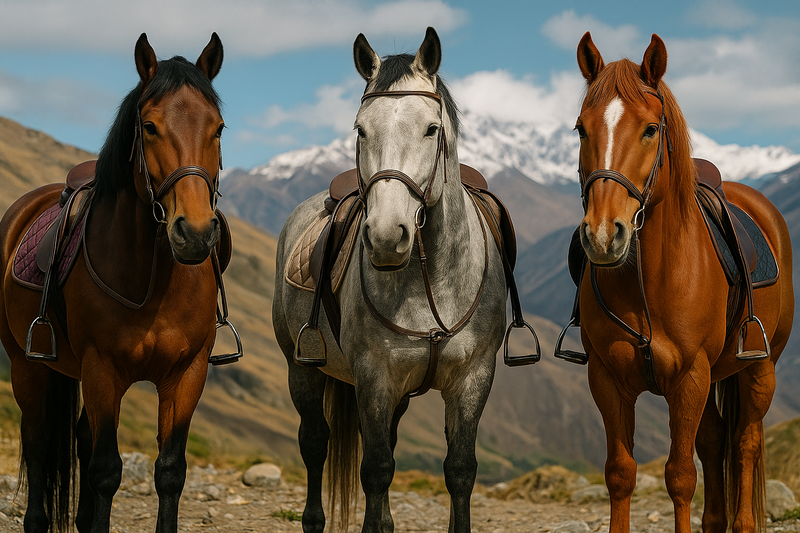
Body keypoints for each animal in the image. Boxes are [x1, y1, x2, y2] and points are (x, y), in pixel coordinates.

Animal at [0, 33, 233, 533]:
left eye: (219, 128)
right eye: (149, 126)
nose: (195, 232)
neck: (155, 281)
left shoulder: (187, 374)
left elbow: (170, 472)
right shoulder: (102, 369)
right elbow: (106, 471)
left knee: (82, 437)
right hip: (27, 366)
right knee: (37, 439)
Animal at [273, 27, 515, 532]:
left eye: (431, 129)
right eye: (361, 129)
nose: (387, 236)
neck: (430, 281)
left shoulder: (472, 379)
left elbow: (459, 470)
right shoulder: (374, 377)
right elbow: (376, 469)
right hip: (301, 368)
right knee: (315, 443)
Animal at [564, 32, 794, 533]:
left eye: (651, 129)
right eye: (580, 129)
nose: (603, 235)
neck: (648, 282)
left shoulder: (690, 378)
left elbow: (681, 476)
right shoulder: (607, 378)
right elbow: (621, 473)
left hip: (759, 369)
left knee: (745, 441)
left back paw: (744, 521)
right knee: (714, 442)